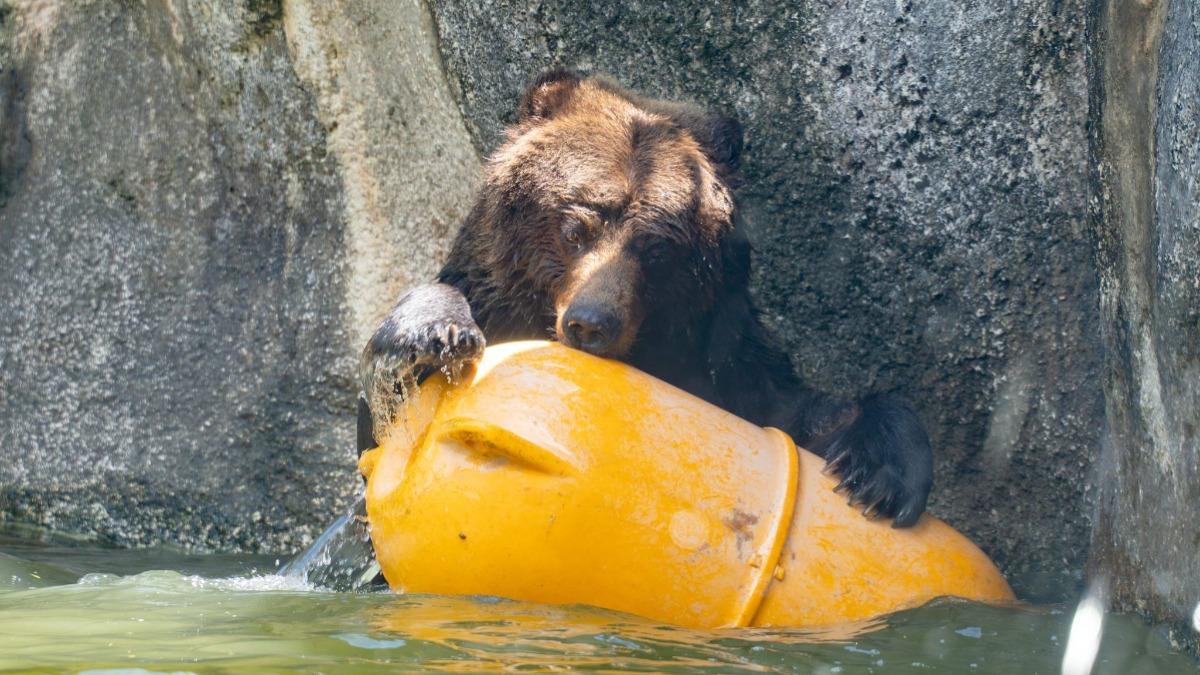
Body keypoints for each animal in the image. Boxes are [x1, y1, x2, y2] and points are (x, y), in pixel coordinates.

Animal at [357, 70, 933, 527]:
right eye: (576, 227)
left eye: (654, 247)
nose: (591, 323)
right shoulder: (496, 295)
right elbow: (387, 427)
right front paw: (434, 335)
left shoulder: (727, 362)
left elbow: (807, 411)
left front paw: (881, 474)